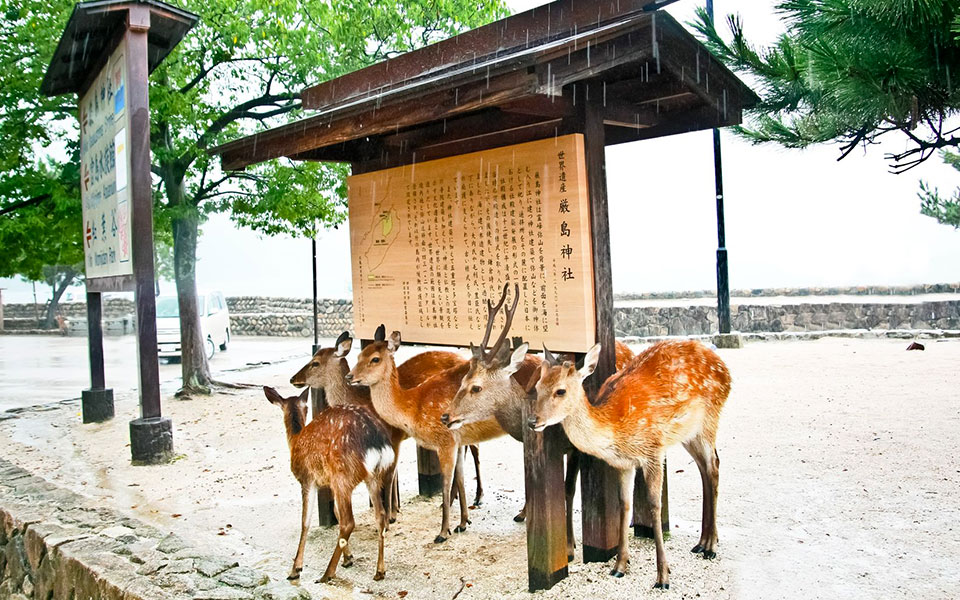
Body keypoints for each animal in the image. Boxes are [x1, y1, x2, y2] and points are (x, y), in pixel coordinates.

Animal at [262, 386, 394, 584]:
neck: (296, 440)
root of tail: (377, 442)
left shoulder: (307, 479)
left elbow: (305, 521)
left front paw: (295, 569)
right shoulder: (328, 483)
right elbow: (335, 512)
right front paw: (348, 558)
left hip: (343, 474)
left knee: (348, 522)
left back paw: (326, 574)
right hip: (372, 476)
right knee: (380, 515)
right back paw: (379, 571)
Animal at [284, 330, 480, 524]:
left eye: (315, 362)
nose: (293, 378)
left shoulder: (395, 436)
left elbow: (389, 474)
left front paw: (390, 516)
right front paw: (393, 509)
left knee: (472, 450)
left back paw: (473, 500)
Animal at [346, 328, 510, 544]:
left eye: (375, 358)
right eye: (359, 355)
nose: (349, 376)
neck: (412, 406)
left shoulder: (446, 440)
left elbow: (445, 482)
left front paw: (442, 532)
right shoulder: (457, 441)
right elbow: (460, 476)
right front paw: (463, 523)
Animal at [528, 340, 732, 588]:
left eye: (560, 390)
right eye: (538, 386)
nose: (532, 421)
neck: (615, 426)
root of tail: (726, 371)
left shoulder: (654, 450)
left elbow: (654, 505)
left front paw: (663, 576)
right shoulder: (623, 463)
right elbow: (624, 504)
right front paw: (619, 566)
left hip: (709, 418)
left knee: (713, 465)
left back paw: (710, 547)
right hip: (688, 433)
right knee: (705, 467)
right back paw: (703, 541)